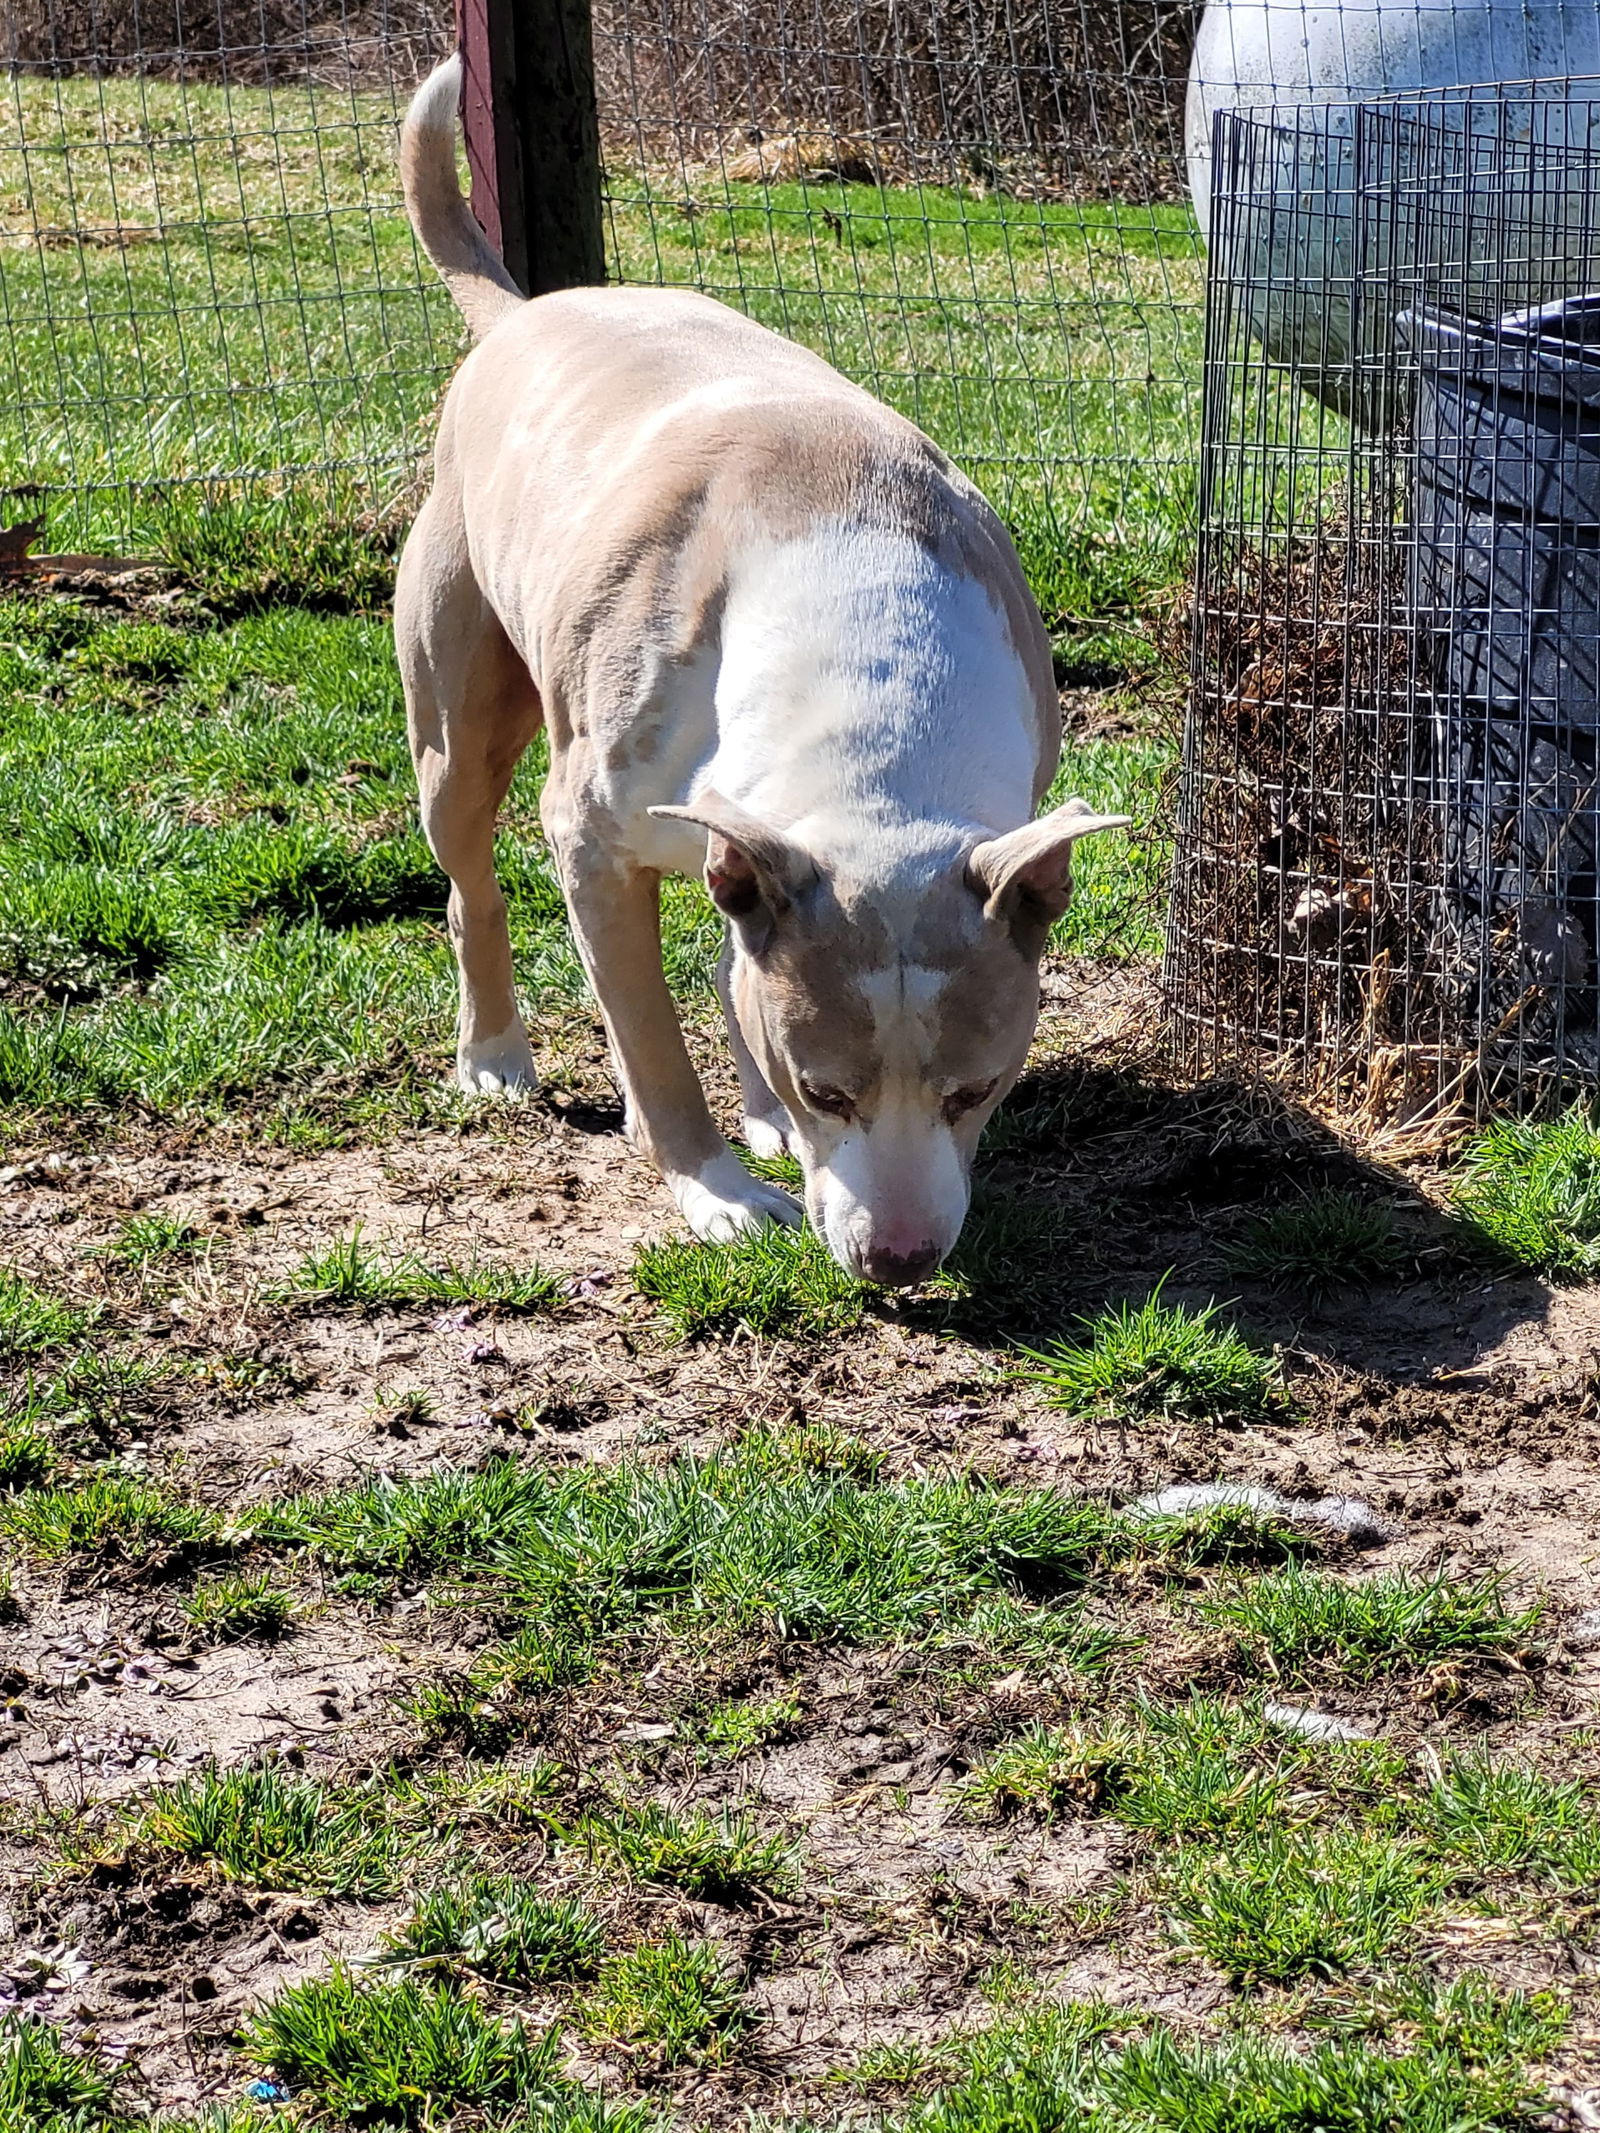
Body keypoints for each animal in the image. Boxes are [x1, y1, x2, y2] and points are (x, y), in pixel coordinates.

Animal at [396, 62, 1134, 1279]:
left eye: (976, 1090)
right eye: (828, 1090)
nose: (898, 1260)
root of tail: (525, 312)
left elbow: (730, 977)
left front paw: (755, 1117)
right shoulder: (589, 841)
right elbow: (647, 1038)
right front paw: (718, 1191)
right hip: (458, 722)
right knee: (470, 881)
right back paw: (495, 1053)